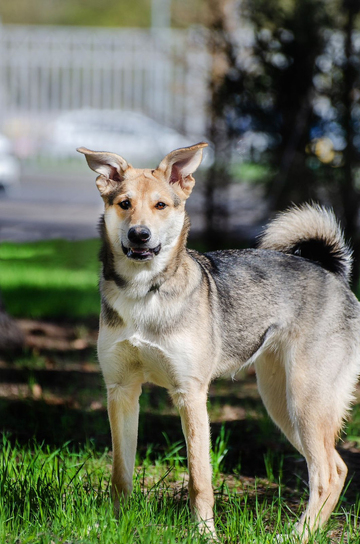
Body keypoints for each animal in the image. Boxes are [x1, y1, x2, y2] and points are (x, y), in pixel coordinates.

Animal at [78, 142, 360, 540]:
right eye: (125, 203)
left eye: (160, 205)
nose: (139, 235)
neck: (145, 293)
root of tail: (331, 272)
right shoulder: (121, 391)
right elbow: (121, 475)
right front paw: (115, 526)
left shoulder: (191, 395)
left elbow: (199, 479)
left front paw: (205, 534)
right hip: (281, 404)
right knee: (337, 467)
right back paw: (308, 531)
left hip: (307, 402)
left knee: (326, 474)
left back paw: (297, 535)